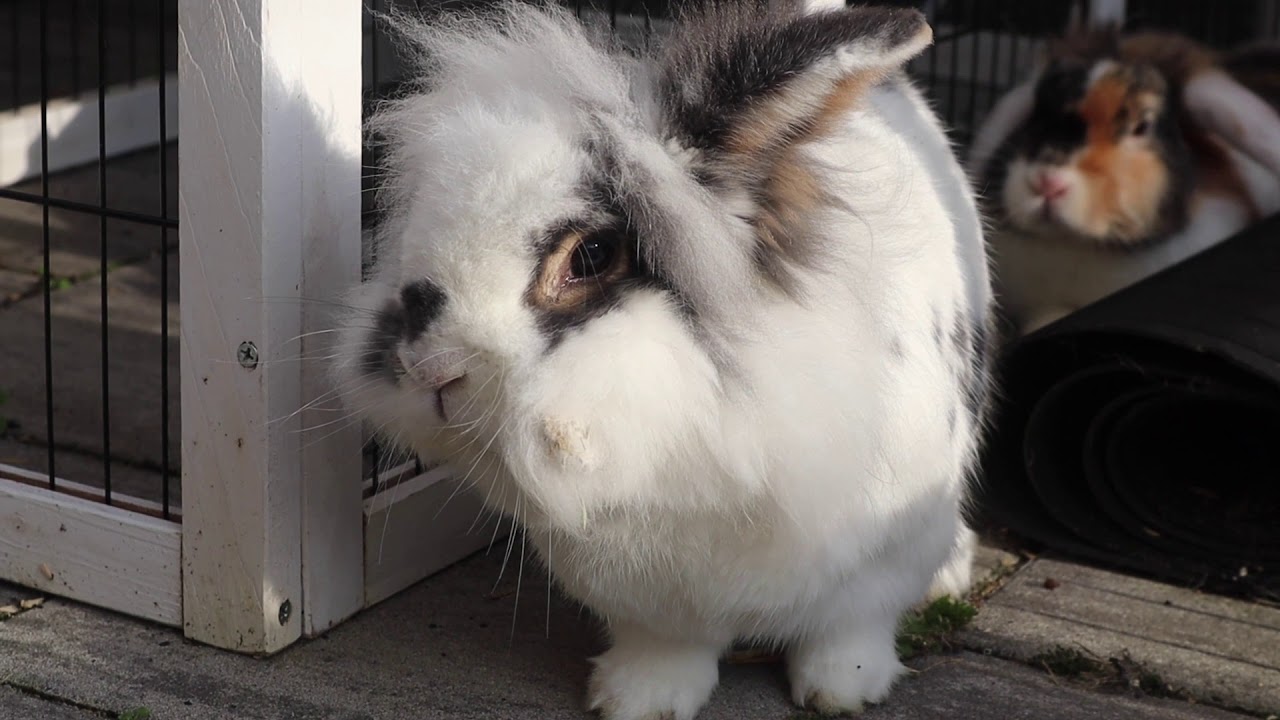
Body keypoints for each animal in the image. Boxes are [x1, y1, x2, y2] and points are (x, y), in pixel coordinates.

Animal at [333, 1, 995, 718]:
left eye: (591, 255)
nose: (432, 369)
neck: (700, 435)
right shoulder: (648, 592)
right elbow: (666, 644)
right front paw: (635, 700)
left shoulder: (883, 557)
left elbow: (851, 627)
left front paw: (841, 689)